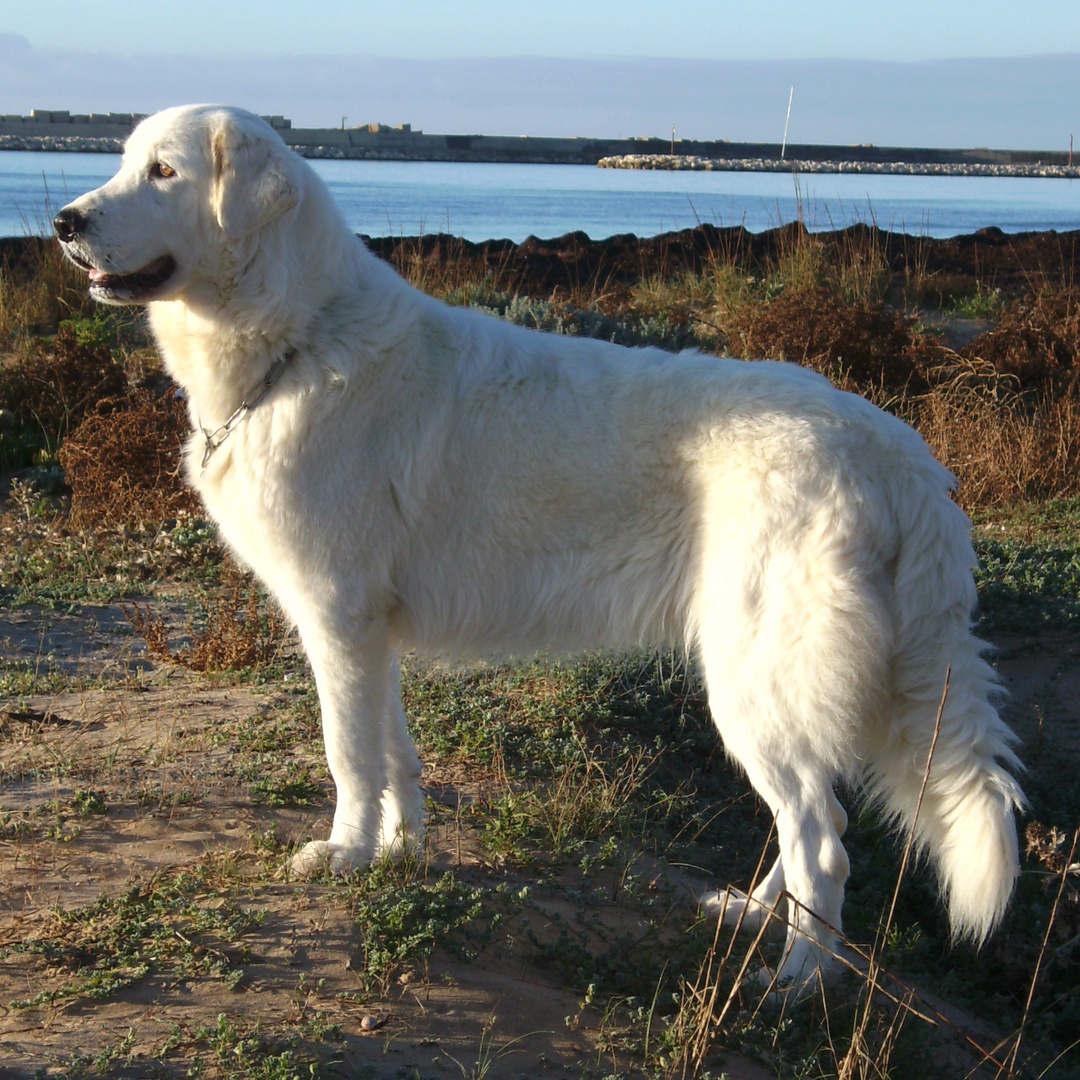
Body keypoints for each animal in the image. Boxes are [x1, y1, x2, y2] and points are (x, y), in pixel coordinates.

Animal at [54, 107, 1023, 989]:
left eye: (164, 173)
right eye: (124, 162)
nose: (64, 224)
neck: (298, 338)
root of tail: (899, 453)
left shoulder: (336, 617)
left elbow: (347, 756)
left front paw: (347, 856)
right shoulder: (370, 636)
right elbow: (396, 755)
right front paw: (401, 851)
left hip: (753, 680)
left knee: (824, 842)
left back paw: (795, 984)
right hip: (772, 685)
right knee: (818, 819)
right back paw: (754, 916)